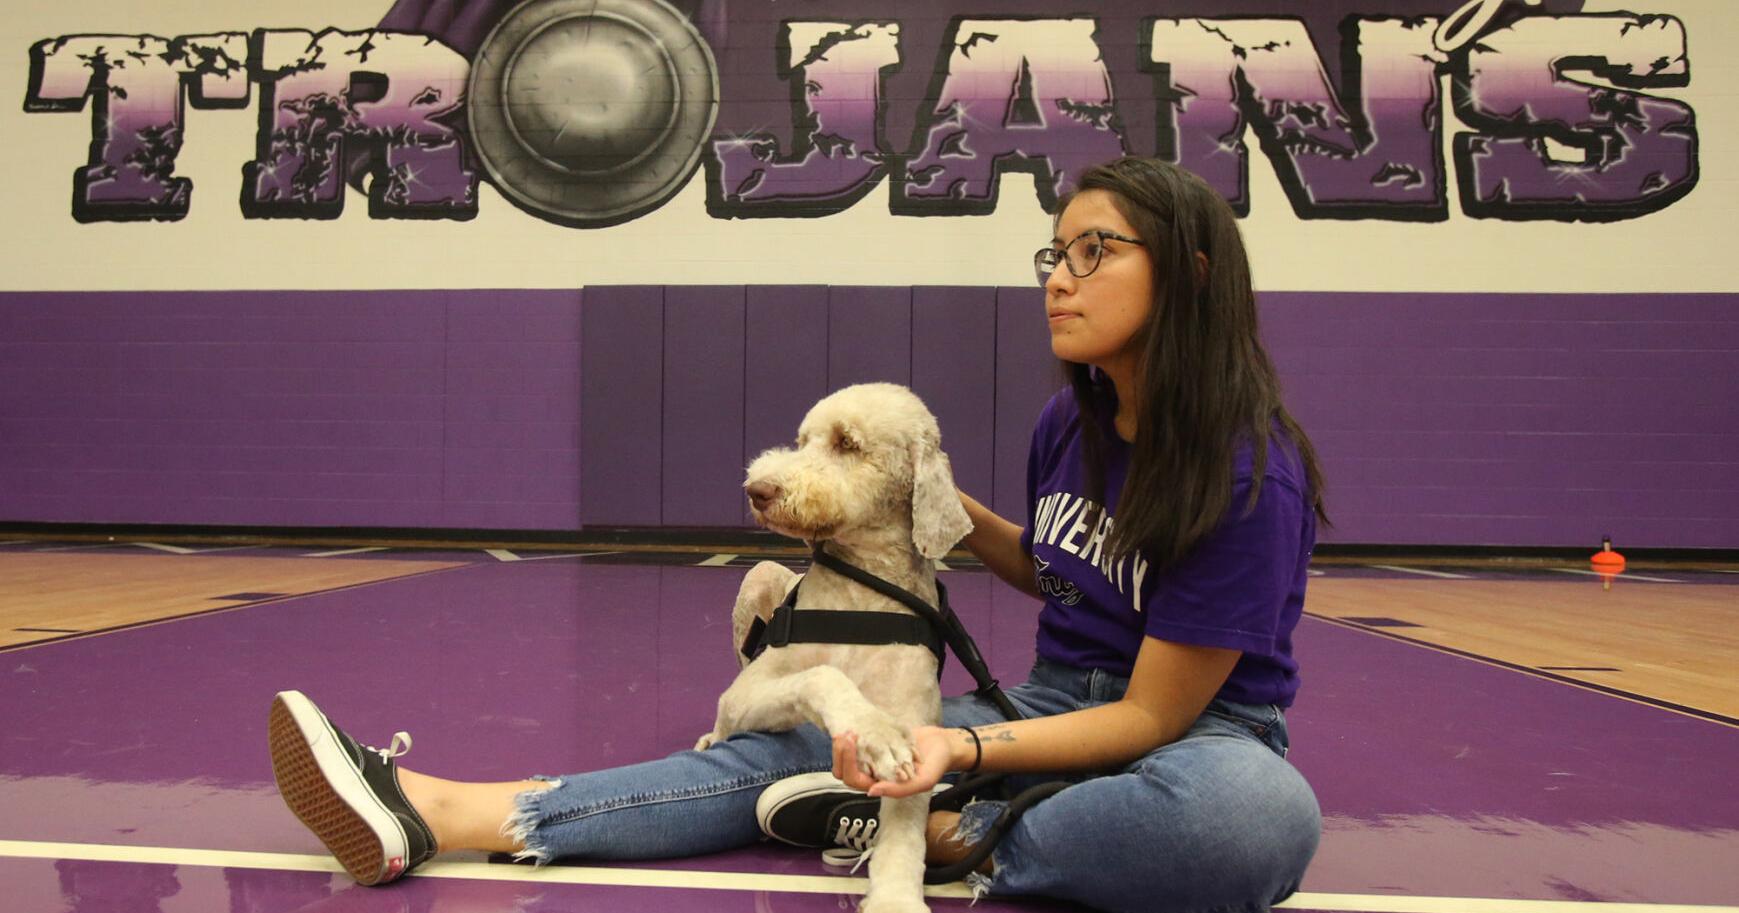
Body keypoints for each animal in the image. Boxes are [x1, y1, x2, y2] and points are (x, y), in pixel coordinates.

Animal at [695, 382, 973, 911]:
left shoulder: (917, 731)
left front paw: (895, 898)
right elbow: (822, 675)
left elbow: (905, 836)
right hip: (758, 576)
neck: (862, 589)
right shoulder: (743, 694)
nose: (758, 490)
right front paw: (872, 732)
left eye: (847, 442)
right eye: (802, 441)